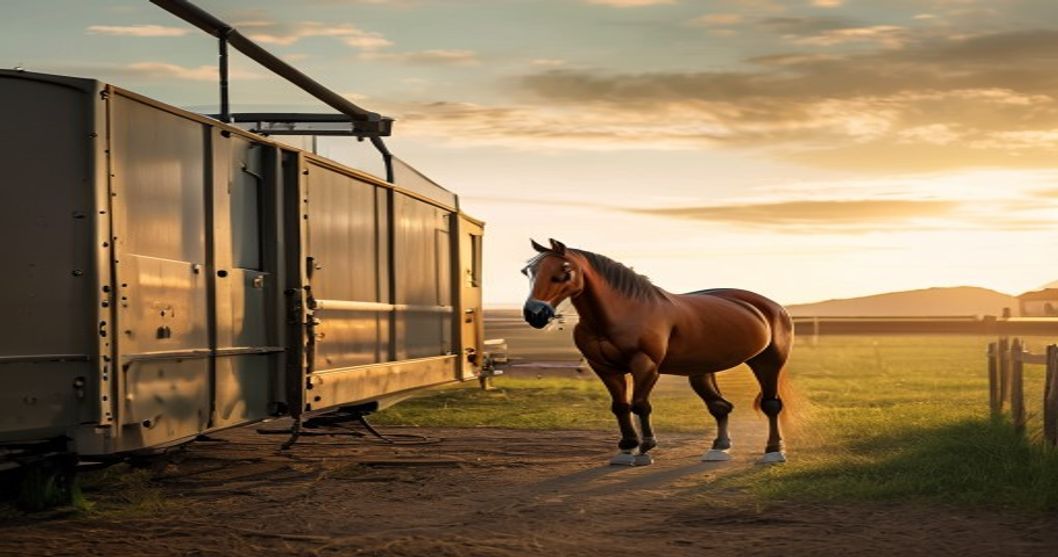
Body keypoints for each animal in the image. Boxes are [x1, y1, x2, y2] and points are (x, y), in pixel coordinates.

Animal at [521, 238, 793, 466]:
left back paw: (773, 452)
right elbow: (620, 406)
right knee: (720, 407)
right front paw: (626, 449)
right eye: (528, 272)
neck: (624, 312)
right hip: (702, 371)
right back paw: (718, 449)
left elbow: (640, 405)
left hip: (767, 361)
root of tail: (772, 307)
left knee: (771, 404)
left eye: (565, 270)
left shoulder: (645, 365)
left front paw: (645, 449)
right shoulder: (605, 368)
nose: (535, 313)